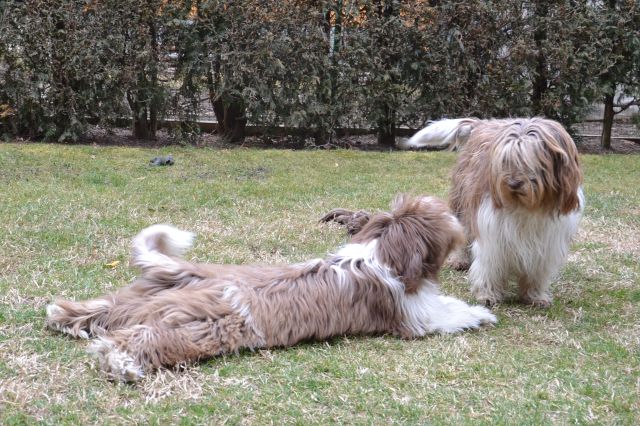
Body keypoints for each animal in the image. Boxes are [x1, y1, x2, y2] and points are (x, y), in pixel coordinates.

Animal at [46, 195, 496, 382]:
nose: (460, 226)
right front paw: (481, 313)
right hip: (203, 326)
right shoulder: (413, 317)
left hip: (136, 300)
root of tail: (192, 273)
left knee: (100, 309)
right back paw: (121, 363)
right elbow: (448, 313)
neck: (381, 251)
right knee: (139, 339)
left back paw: (62, 317)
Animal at [328, 118, 584, 308]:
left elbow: (538, 270)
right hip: (462, 201)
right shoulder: (492, 231)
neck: (527, 206)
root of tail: (484, 123)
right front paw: (487, 294)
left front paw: (535, 295)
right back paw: (459, 259)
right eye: (506, 160)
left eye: (531, 160)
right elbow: (490, 263)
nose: (512, 183)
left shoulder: (548, 240)